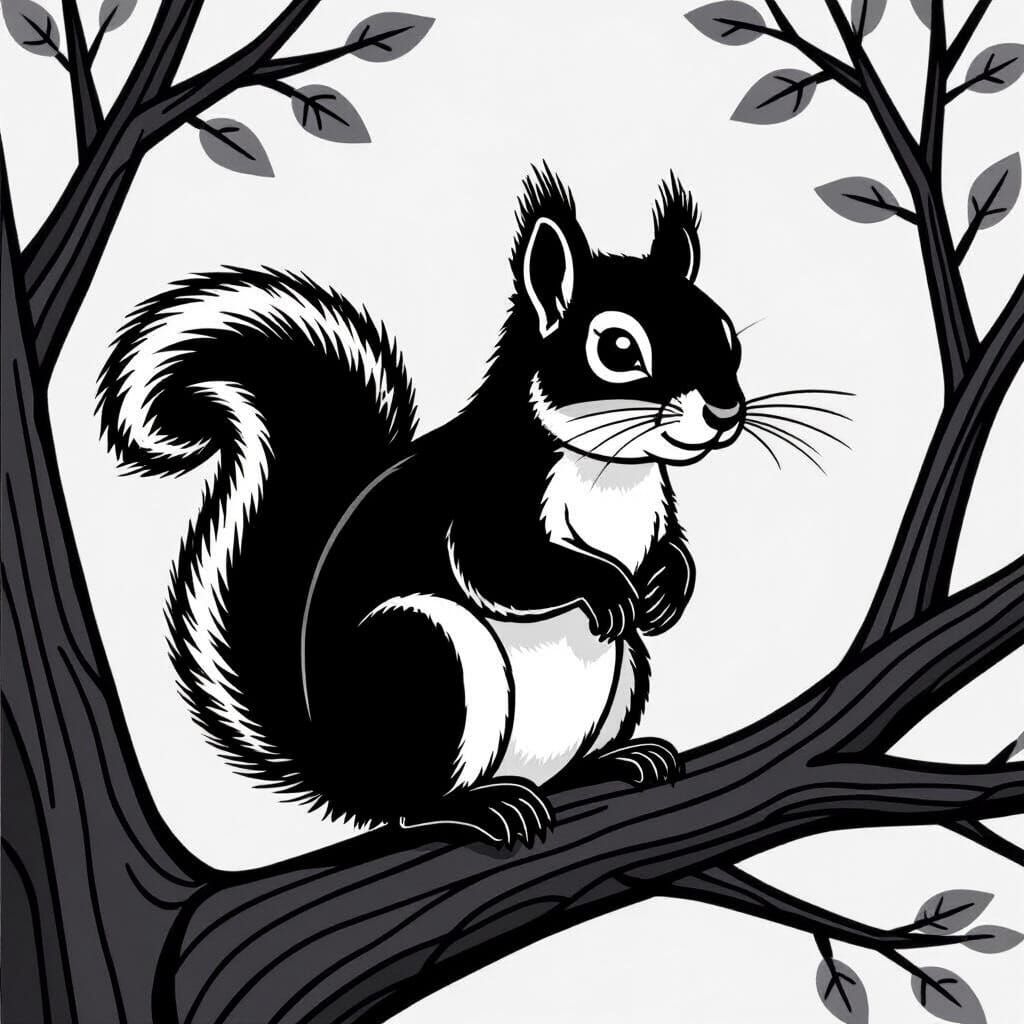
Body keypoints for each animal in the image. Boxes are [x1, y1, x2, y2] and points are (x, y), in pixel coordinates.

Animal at [98, 167, 746, 847]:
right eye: (618, 348)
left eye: (726, 334)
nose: (724, 412)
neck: (614, 470)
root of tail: (345, 771)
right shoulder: (485, 500)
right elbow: (502, 569)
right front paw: (606, 585)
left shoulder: (654, 512)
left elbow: (669, 546)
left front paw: (668, 586)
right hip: (427, 656)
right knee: (409, 806)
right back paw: (478, 806)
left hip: (623, 671)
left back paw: (618, 759)